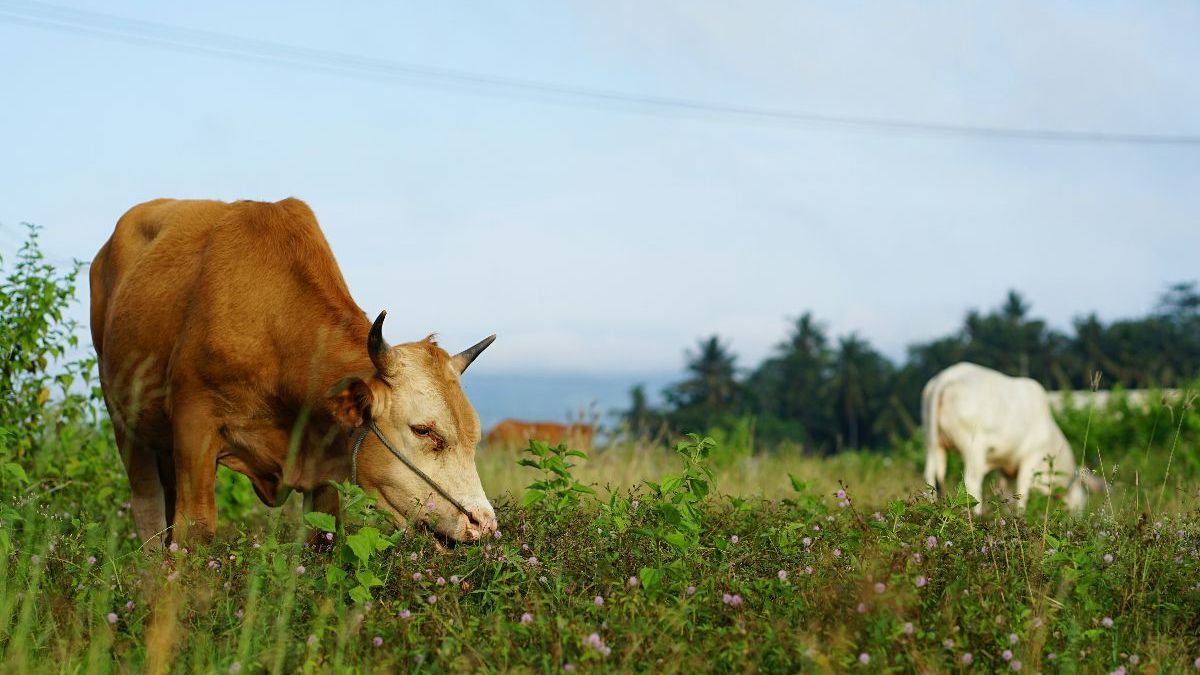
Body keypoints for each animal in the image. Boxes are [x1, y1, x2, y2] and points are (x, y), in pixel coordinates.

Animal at [90, 195, 496, 547]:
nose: (483, 524)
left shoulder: (325, 466)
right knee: (148, 511)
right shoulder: (194, 427)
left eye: (475, 437)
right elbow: (195, 528)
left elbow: (323, 535)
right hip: (124, 422)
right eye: (424, 430)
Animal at [921, 360, 1094, 511]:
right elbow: (1022, 494)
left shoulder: (1004, 467)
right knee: (972, 482)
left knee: (932, 476)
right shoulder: (1031, 459)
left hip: (934, 443)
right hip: (974, 447)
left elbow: (1005, 493)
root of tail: (947, 377)